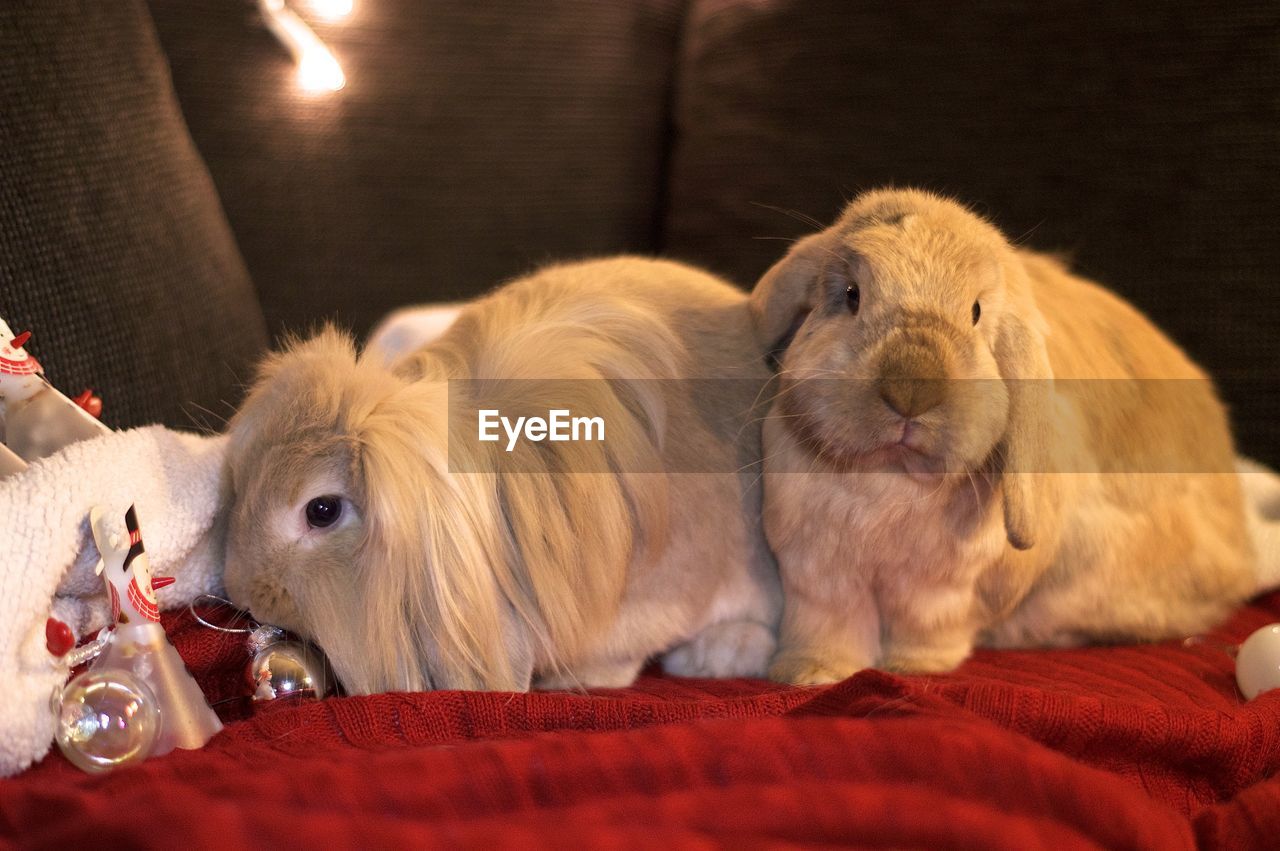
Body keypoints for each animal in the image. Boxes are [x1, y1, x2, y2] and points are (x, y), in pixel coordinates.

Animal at [747, 188, 1259, 685]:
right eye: (852, 295)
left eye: (976, 312)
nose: (912, 389)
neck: (888, 481)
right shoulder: (817, 576)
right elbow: (827, 628)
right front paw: (811, 673)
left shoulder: (943, 590)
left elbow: (926, 628)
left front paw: (914, 667)